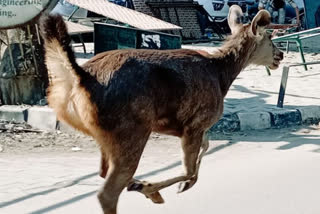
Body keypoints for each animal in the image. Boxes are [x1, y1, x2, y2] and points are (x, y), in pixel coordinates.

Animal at [39, 5, 282, 214]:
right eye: (269, 38)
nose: (279, 55)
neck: (222, 75)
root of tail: (79, 78)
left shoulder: (192, 127)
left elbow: (204, 150)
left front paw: (163, 187)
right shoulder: (197, 122)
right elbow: (189, 169)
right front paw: (164, 187)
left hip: (104, 134)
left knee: (104, 172)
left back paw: (139, 186)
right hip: (130, 130)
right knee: (107, 192)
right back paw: (141, 188)